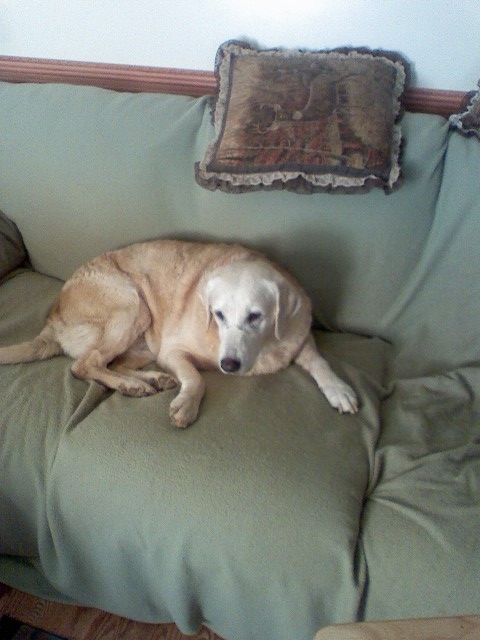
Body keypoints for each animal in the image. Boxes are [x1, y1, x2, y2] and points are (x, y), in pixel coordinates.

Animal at [0, 239, 358, 427]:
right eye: (218, 314)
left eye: (256, 316)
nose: (228, 365)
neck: (264, 348)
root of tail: (51, 320)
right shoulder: (172, 350)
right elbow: (197, 379)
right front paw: (187, 405)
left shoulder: (300, 335)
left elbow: (320, 362)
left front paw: (339, 390)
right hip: (132, 304)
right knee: (85, 365)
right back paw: (134, 384)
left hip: (142, 339)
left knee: (110, 363)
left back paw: (150, 380)